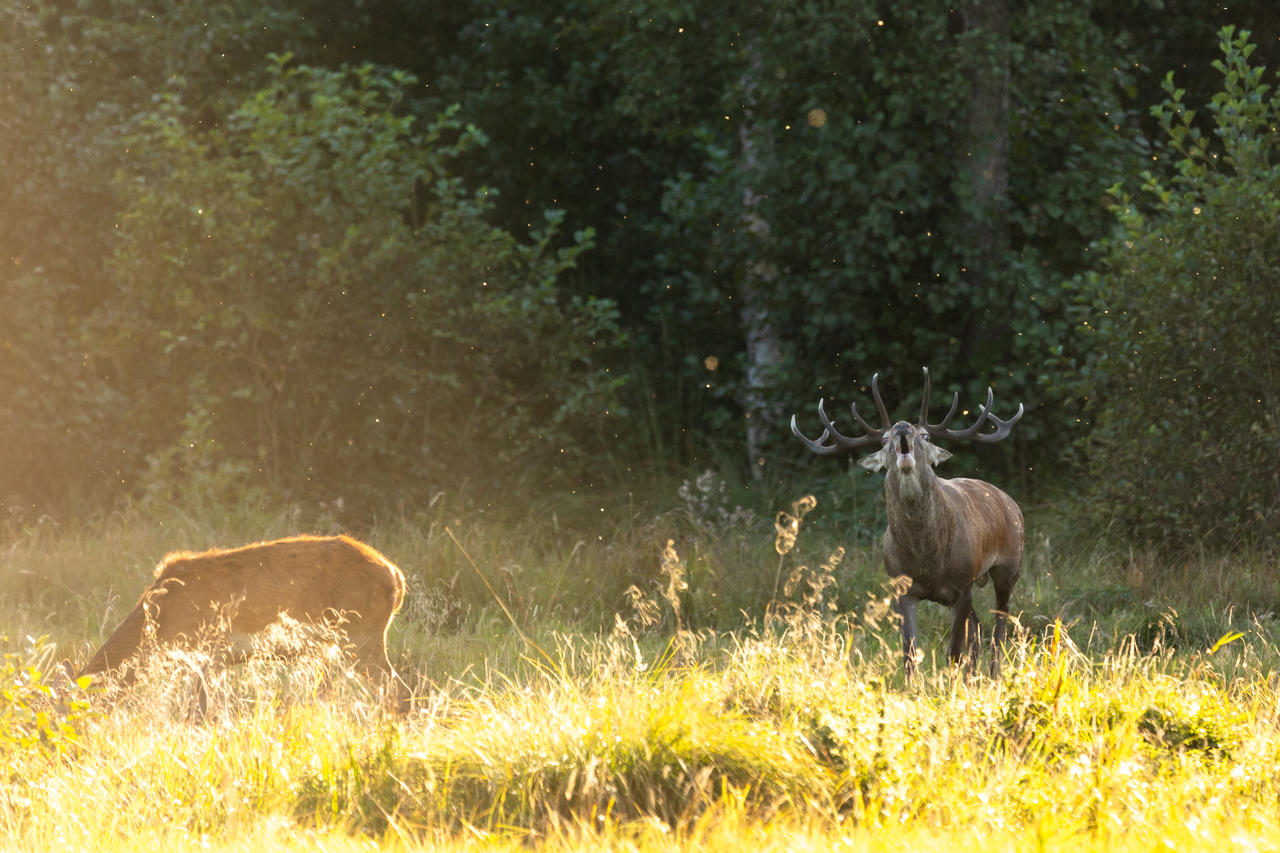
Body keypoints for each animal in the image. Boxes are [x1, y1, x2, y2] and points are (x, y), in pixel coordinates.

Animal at [72, 535, 409, 712]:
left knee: (397, 688)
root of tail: (396, 576)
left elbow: (198, 712)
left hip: (362, 635)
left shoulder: (208, 653)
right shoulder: (209, 661)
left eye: (66, 707)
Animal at [793, 366, 1024, 676]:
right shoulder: (901, 588)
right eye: (883, 440)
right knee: (978, 629)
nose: (902, 427)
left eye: (925, 436)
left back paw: (993, 675)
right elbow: (909, 653)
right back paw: (972, 677)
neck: (928, 564)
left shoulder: (963, 583)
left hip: (1009, 565)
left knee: (999, 628)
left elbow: (953, 651)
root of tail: (1010, 502)